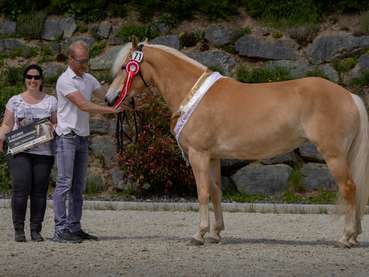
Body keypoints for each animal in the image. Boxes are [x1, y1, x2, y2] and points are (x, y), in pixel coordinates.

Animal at [104, 38, 368, 246]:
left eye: (126, 67)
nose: (109, 98)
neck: (193, 93)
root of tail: (350, 96)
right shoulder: (213, 157)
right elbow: (216, 192)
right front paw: (215, 234)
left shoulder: (199, 155)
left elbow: (202, 193)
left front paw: (199, 234)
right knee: (355, 188)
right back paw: (354, 237)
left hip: (334, 155)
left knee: (348, 188)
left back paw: (346, 238)